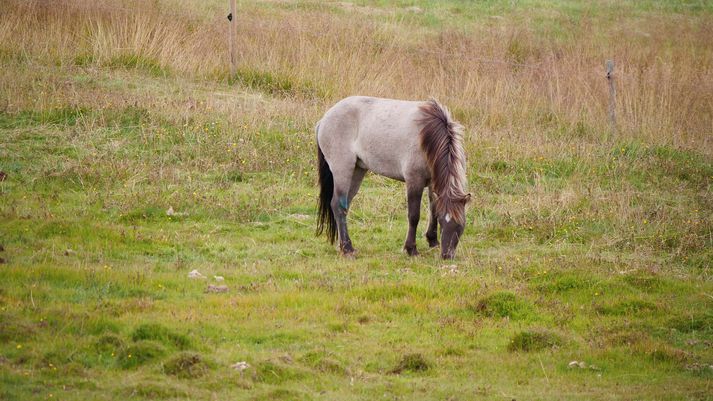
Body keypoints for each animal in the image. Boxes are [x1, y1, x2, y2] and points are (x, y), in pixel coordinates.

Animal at [314, 97, 470, 260]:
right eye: (443, 222)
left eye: (460, 225)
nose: (447, 255)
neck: (427, 134)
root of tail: (324, 119)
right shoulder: (414, 181)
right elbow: (414, 216)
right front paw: (411, 249)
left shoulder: (434, 183)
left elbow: (433, 208)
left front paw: (432, 240)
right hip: (343, 170)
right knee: (338, 205)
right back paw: (347, 248)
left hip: (357, 171)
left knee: (344, 206)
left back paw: (342, 245)